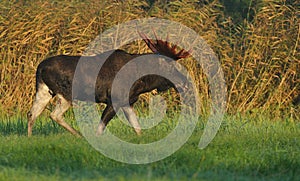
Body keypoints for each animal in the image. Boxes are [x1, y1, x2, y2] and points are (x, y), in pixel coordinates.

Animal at [28, 31, 192, 136]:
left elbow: (137, 128)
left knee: (32, 113)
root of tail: (40, 68)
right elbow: (100, 129)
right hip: (66, 93)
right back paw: (78, 135)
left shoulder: (127, 102)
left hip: (45, 91)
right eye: (171, 66)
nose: (185, 82)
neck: (141, 83)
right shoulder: (114, 100)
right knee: (54, 115)